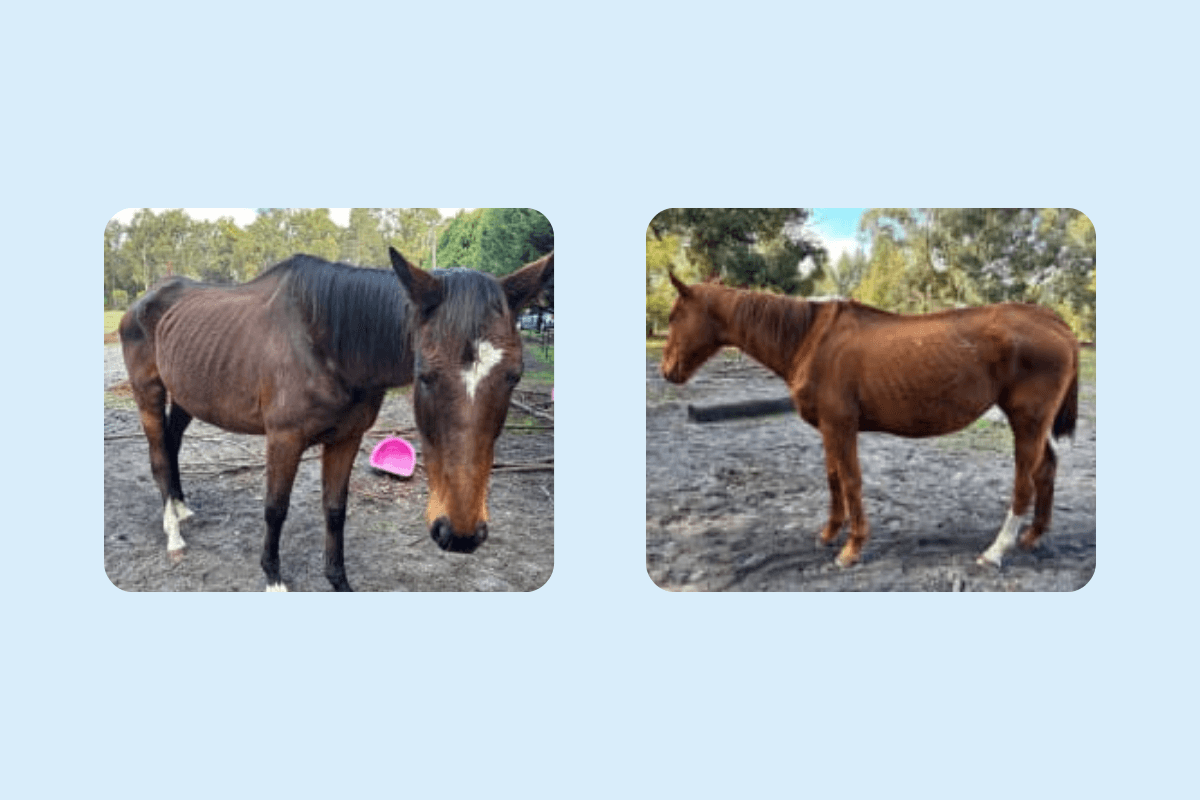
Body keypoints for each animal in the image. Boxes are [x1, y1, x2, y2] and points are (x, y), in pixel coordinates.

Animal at [119, 247, 553, 591]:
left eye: (514, 376)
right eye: (425, 375)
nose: (460, 534)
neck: (326, 341)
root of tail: (144, 300)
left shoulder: (346, 438)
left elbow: (335, 510)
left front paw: (338, 579)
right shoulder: (284, 439)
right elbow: (275, 508)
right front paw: (273, 577)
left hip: (188, 395)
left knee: (172, 444)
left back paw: (180, 508)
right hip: (149, 392)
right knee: (159, 457)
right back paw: (173, 534)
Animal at [660, 273, 1078, 570]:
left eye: (674, 316)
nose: (667, 371)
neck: (810, 340)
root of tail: (1055, 321)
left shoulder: (842, 426)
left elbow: (850, 482)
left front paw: (852, 547)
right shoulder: (829, 429)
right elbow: (833, 480)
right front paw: (830, 532)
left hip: (1026, 421)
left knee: (1024, 482)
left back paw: (996, 550)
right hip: (1035, 425)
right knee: (1046, 470)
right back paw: (1034, 535)